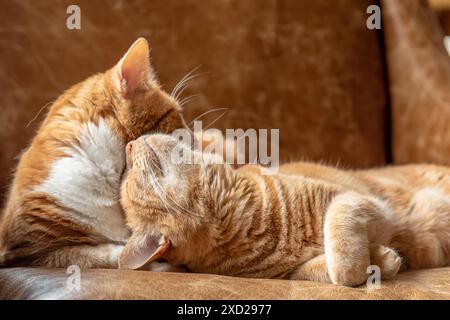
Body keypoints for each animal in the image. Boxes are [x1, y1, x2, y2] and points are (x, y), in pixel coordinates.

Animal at [119, 134, 450, 286]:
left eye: (129, 171)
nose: (130, 144)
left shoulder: (358, 201)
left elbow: (336, 230)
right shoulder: (291, 274)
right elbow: (325, 271)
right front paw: (376, 262)